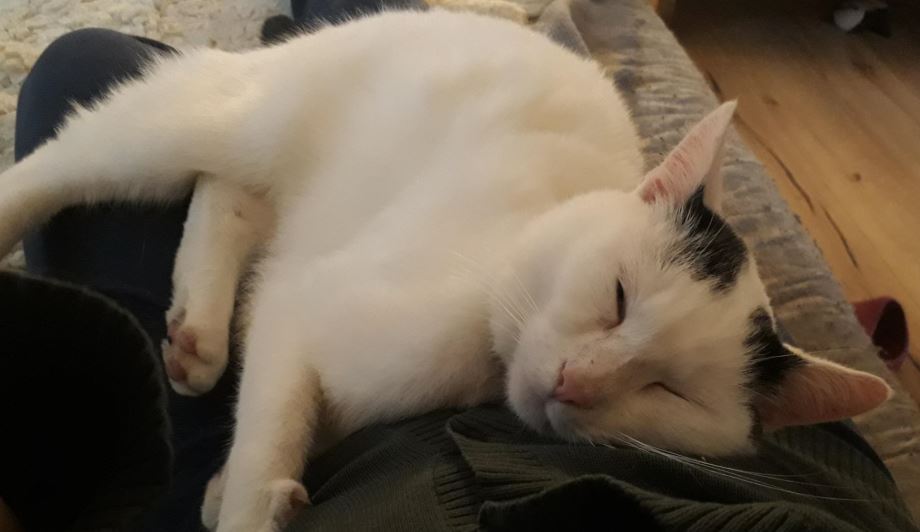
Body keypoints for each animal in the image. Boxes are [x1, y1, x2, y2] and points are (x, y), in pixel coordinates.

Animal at [0, 10, 891, 532]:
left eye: (670, 391)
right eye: (617, 297)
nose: (576, 382)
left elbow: (279, 428)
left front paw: (222, 490)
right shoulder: (302, 314)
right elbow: (271, 434)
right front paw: (250, 500)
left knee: (228, 199)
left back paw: (198, 335)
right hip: (218, 121)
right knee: (84, 161)